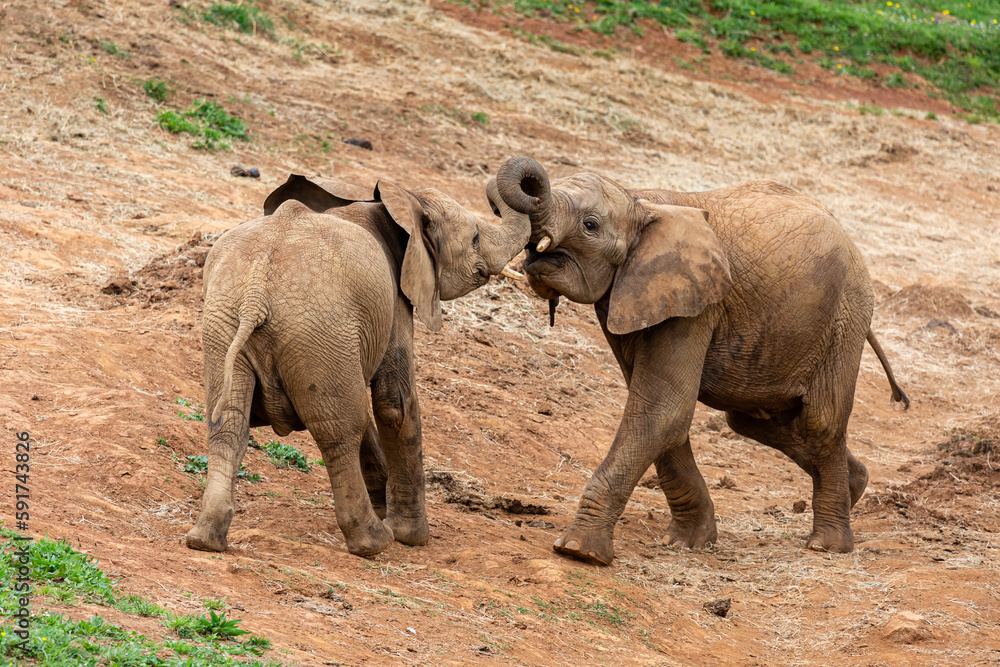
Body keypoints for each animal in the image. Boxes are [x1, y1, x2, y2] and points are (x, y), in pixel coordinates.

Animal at [184, 174, 529, 556]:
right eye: (475, 238)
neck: (394, 204)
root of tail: (257, 291)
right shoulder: (396, 299)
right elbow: (394, 403)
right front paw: (412, 537)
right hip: (318, 329)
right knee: (338, 431)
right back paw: (374, 542)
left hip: (224, 323)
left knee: (228, 424)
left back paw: (205, 540)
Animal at [493, 156, 908, 564]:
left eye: (590, 225)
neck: (639, 200)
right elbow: (659, 413)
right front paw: (689, 542)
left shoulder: (696, 304)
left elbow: (662, 411)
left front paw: (579, 551)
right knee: (753, 420)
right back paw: (856, 487)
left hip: (844, 317)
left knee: (819, 423)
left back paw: (828, 544)